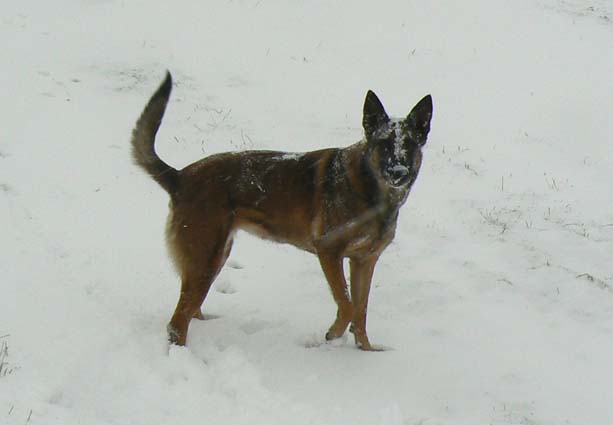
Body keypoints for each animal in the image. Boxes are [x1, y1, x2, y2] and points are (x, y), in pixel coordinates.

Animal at [131, 72, 432, 352]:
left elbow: (361, 312)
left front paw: (366, 352)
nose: (399, 172)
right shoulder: (329, 252)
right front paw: (332, 334)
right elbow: (347, 307)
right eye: (383, 144)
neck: (371, 191)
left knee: (192, 310)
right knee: (177, 322)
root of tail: (180, 176)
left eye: (410, 145)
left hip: (214, 258)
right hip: (205, 260)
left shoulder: (364, 261)